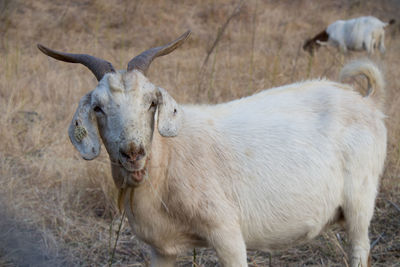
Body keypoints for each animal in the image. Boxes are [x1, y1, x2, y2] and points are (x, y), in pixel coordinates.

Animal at [39, 31, 386, 267]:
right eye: (98, 108)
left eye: (151, 103)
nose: (133, 153)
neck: (167, 160)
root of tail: (367, 101)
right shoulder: (159, 249)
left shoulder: (227, 232)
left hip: (360, 200)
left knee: (360, 248)